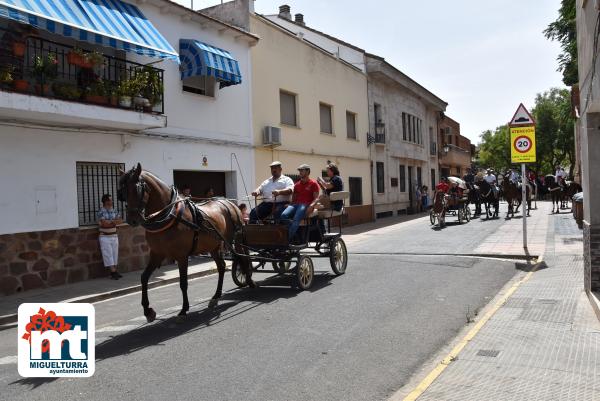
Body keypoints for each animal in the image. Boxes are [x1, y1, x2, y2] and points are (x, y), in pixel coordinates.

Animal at [117, 162, 253, 322]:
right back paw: (216, 296)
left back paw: (249, 280)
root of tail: (229, 203)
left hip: (236, 240)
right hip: (214, 246)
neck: (170, 216)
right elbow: (144, 278)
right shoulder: (156, 254)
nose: (132, 220)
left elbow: (183, 282)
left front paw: (183, 309)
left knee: (243, 259)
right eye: (122, 191)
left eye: (137, 189)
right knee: (222, 266)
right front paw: (148, 311)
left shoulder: (182, 256)